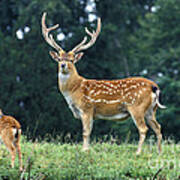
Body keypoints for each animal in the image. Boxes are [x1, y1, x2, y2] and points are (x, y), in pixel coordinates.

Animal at [41, 12, 166, 155]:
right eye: (59, 58)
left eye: (72, 60)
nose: (63, 65)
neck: (74, 90)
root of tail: (154, 86)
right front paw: (86, 149)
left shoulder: (87, 108)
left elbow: (86, 132)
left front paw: (84, 150)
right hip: (151, 109)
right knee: (158, 127)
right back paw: (159, 152)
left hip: (136, 106)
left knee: (143, 129)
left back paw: (138, 152)